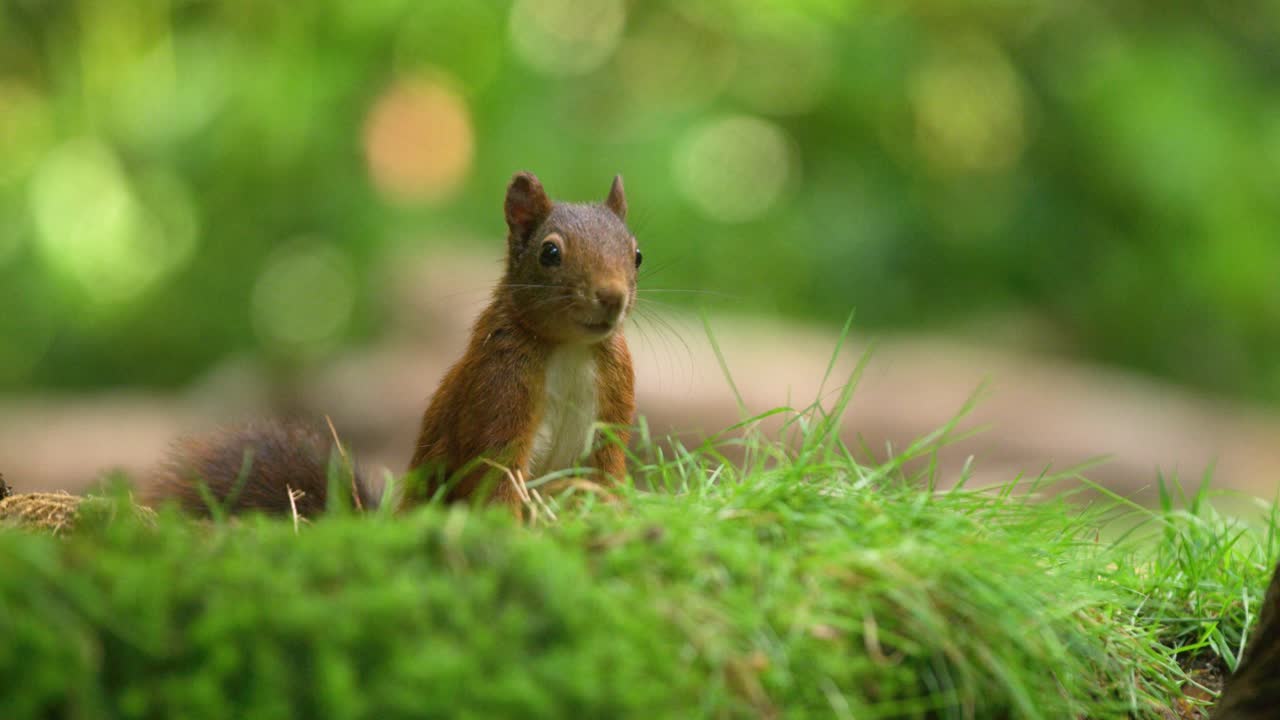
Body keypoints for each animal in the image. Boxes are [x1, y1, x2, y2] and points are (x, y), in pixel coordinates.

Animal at [143, 171, 639, 518]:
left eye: (637, 254)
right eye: (550, 253)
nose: (612, 297)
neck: (569, 348)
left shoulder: (613, 403)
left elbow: (605, 474)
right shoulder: (498, 392)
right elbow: (493, 478)